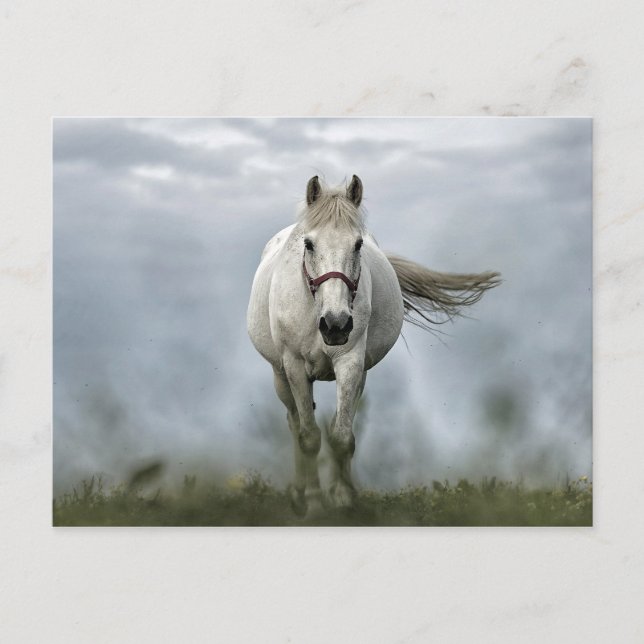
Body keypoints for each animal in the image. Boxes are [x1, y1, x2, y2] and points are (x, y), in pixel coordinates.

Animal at [247, 175, 500, 515]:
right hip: (280, 375)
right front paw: (313, 503)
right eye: (309, 244)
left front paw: (343, 499)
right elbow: (309, 437)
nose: (336, 324)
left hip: (359, 376)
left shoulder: (351, 363)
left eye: (358, 244)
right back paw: (299, 494)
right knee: (294, 423)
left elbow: (342, 436)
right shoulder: (295, 367)